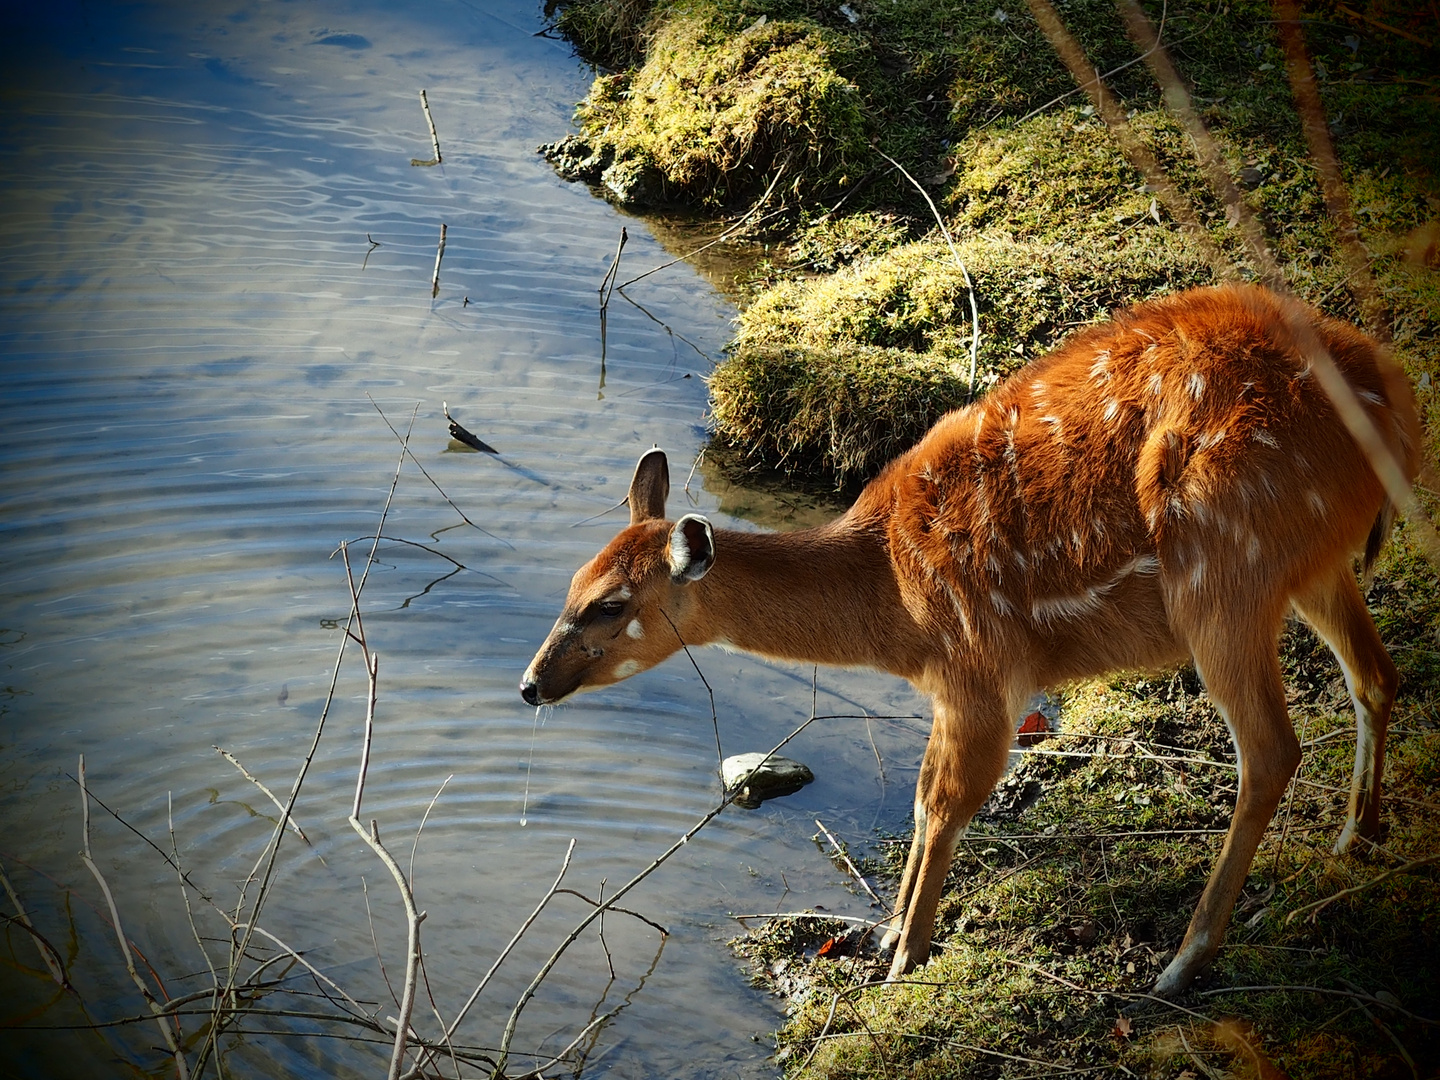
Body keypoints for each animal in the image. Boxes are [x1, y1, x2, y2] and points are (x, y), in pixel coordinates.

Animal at [515, 283, 1416, 1002]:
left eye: (609, 604)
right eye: (570, 583)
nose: (529, 684)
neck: (894, 602)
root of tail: (1395, 402)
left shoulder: (984, 668)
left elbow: (948, 800)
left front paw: (901, 958)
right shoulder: (951, 688)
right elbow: (920, 796)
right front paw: (886, 933)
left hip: (1224, 574)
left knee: (1271, 749)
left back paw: (1183, 962)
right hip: (1312, 567)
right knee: (1377, 674)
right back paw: (1353, 841)